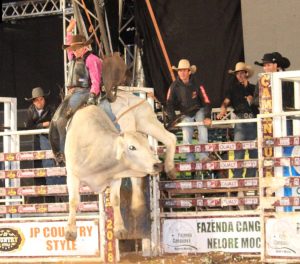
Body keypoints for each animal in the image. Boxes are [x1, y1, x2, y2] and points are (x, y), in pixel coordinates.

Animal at [63, 105, 162, 241]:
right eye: (132, 147)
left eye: (148, 145)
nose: (157, 164)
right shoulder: (72, 176)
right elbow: (73, 201)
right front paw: (70, 231)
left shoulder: (115, 178)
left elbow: (115, 200)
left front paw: (120, 229)